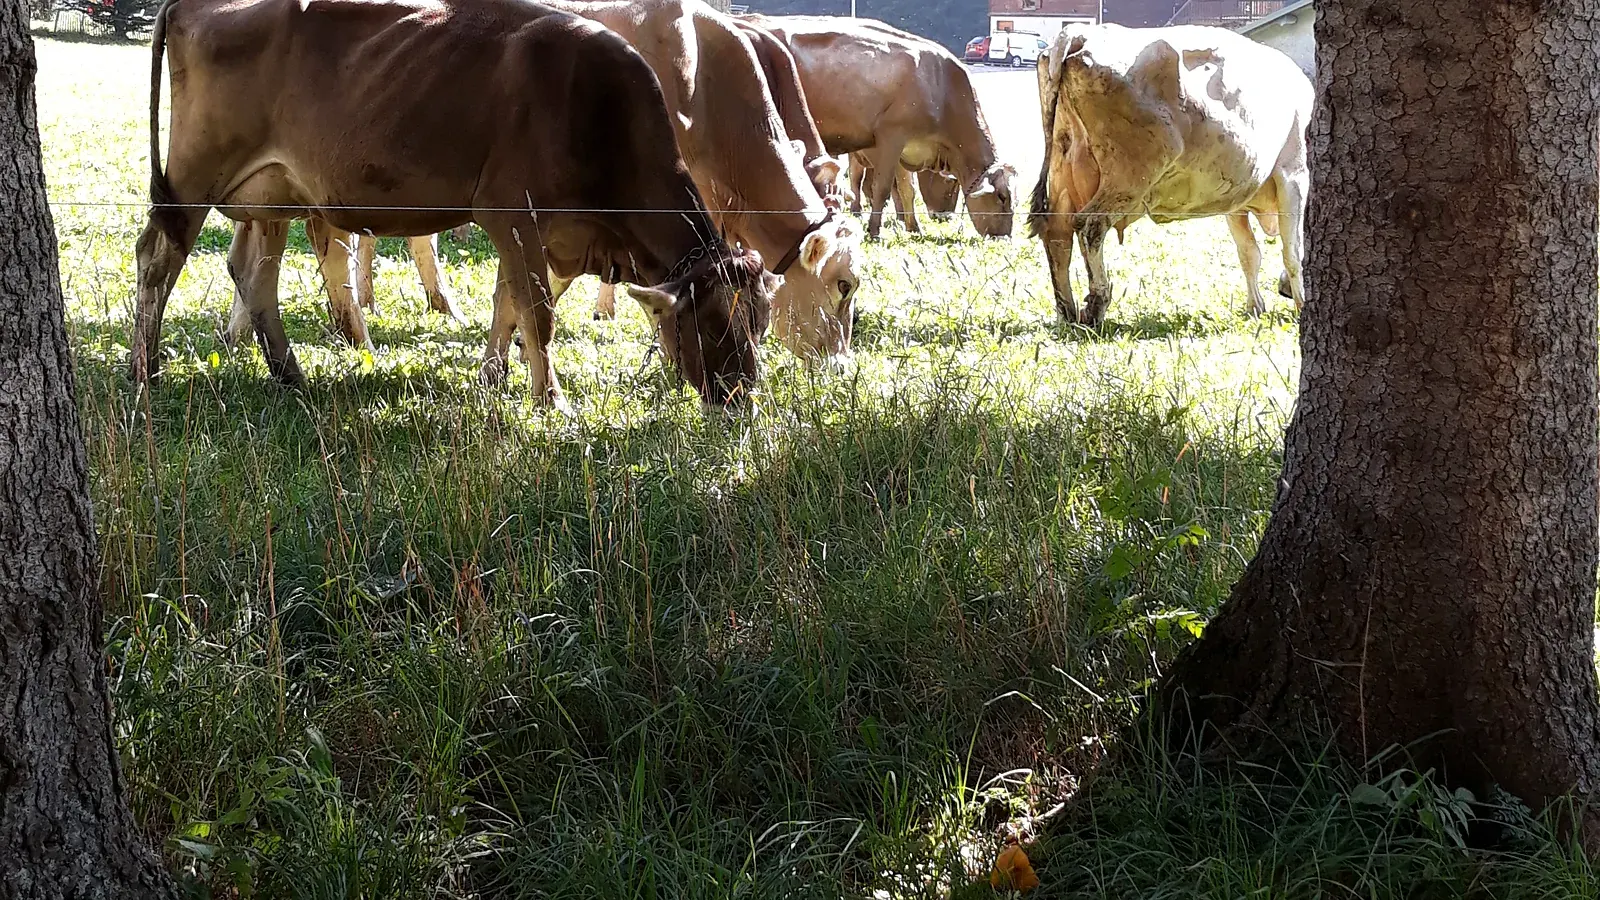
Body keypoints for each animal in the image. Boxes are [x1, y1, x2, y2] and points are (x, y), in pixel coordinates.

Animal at [135, 0, 775, 409]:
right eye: (714, 322)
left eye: (760, 324)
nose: (742, 398)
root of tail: (193, 3)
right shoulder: (510, 212)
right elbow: (537, 311)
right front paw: (551, 401)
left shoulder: (556, 234)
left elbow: (510, 307)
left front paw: (496, 379)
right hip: (194, 173)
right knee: (158, 257)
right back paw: (145, 373)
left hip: (273, 194)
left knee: (254, 275)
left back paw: (291, 376)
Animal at [746, 14, 1016, 241]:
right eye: (1002, 197)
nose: (1005, 238)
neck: (940, 85)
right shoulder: (891, 136)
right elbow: (882, 188)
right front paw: (875, 231)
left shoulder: (905, 147)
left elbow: (907, 189)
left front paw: (914, 228)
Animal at [1030, 24, 1312, 327]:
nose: (1282, 291)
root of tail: (1080, 33)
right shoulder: (1294, 175)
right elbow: (1293, 252)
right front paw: (1302, 306)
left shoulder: (1236, 199)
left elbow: (1249, 253)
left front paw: (1255, 308)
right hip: (1129, 176)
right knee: (1089, 226)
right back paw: (1095, 306)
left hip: (1063, 167)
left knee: (1057, 233)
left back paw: (1067, 312)